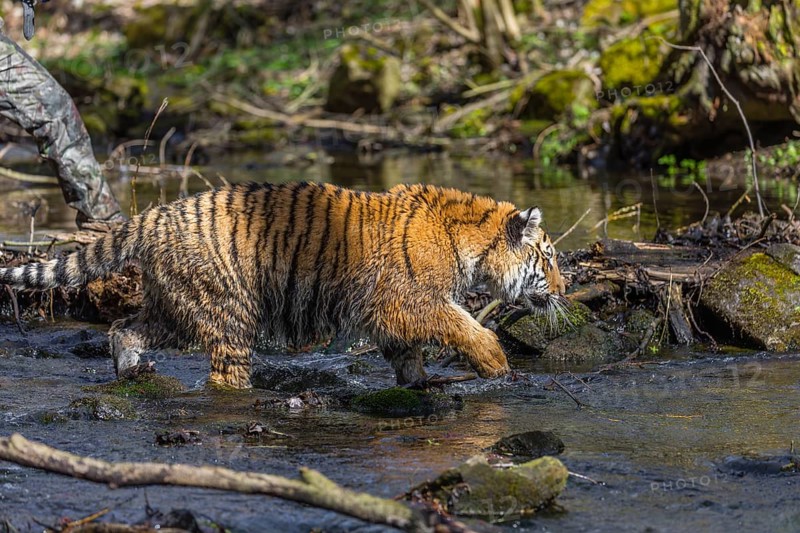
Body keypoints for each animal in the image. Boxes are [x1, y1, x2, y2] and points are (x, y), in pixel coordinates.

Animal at [0, 182, 567, 389]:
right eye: (548, 258)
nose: (564, 290)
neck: (473, 246)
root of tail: (156, 214)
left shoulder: (388, 313)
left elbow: (408, 354)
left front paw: (418, 385)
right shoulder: (407, 300)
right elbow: (462, 323)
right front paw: (495, 362)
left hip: (173, 307)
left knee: (124, 326)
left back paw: (132, 369)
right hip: (227, 310)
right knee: (224, 374)